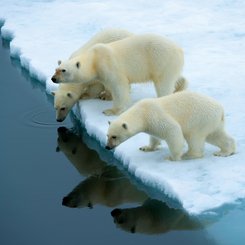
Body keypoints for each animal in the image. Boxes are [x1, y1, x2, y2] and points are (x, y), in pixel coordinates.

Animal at [51, 32, 186, 116]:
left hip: (161, 61)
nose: (53, 78)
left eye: (63, 70)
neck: (94, 59)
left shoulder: (109, 65)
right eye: (56, 69)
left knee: (164, 84)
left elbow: (119, 86)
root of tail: (179, 49)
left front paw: (111, 111)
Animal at [105, 90, 235, 161]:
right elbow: (154, 136)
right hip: (212, 121)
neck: (142, 112)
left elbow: (172, 130)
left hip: (199, 118)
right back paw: (225, 151)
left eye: (114, 136)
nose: (107, 147)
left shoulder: (154, 115)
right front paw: (146, 147)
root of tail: (221, 109)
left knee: (194, 137)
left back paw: (188, 155)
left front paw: (172, 158)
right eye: (107, 135)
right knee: (215, 135)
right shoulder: (151, 124)